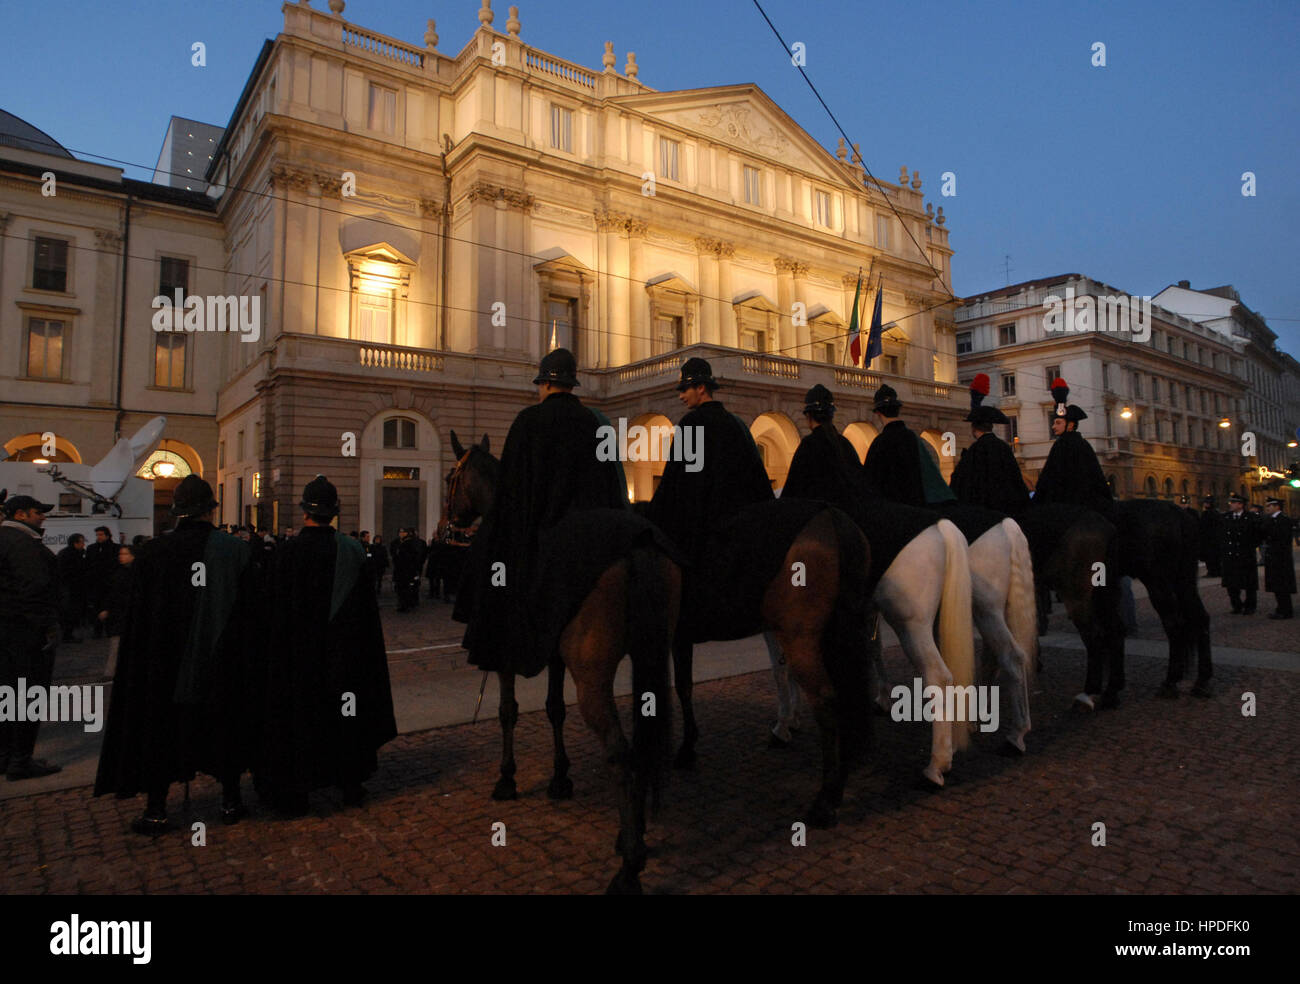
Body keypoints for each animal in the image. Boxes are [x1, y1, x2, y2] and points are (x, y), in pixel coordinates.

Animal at [447, 428, 681, 889]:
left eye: (452, 476)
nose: (452, 520)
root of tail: (640, 544)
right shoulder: (554, 651)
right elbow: (554, 708)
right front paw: (560, 776)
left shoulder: (504, 652)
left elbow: (507, 710)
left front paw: (507, 777)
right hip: (649, 655)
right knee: (643, 741)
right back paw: (635, 834)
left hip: (592, 675)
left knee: (619, 751)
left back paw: (630, 864)